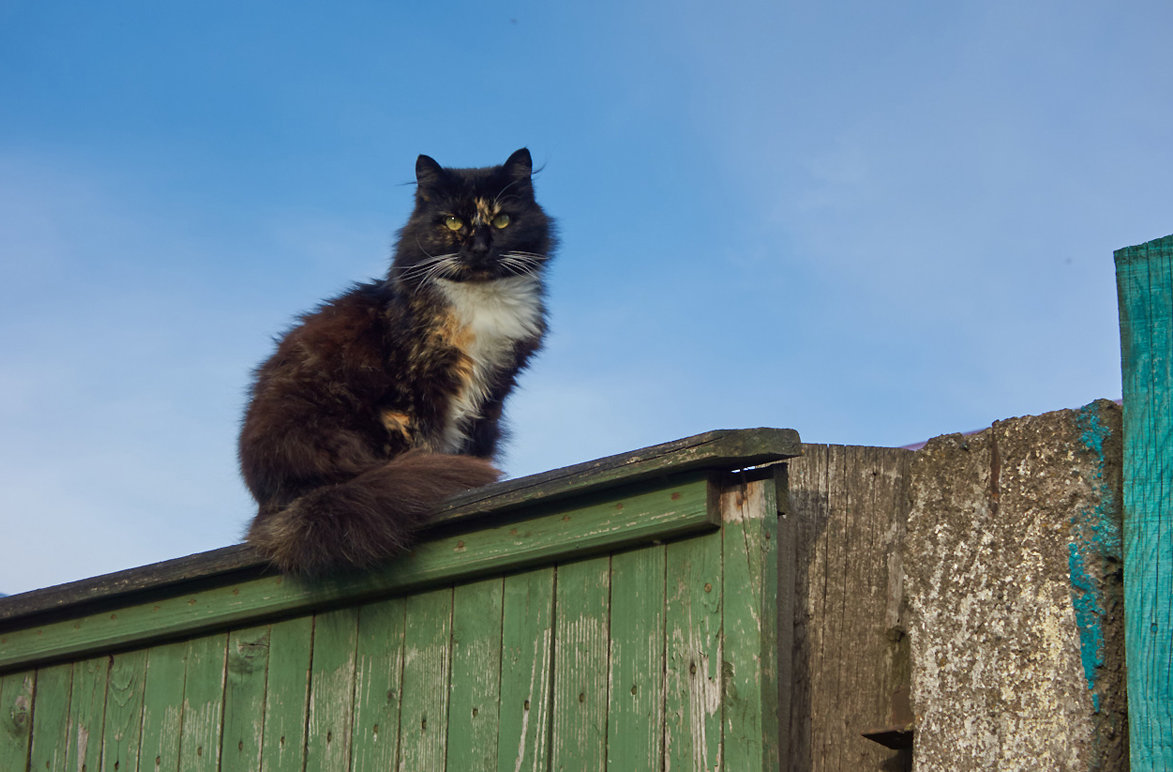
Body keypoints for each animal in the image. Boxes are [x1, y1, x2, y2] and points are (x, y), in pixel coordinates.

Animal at [240, 149, 556, 570]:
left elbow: (475, 444)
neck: (480, 302)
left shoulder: (492, 393)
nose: (479, 247)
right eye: (452, 221)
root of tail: (271, 509)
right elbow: (427, 443)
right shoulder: (416, 390)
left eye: (502, 219)